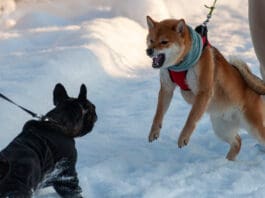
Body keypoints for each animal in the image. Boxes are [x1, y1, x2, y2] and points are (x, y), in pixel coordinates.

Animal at [146, 15, 265, 161]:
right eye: (151, 40)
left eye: (164, 42)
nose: (149, 51)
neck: (181, 64)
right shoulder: (167, 88)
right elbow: (158, 113)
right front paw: (154, 131)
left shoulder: (203, 91)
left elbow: (191, 118)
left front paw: (183, 136)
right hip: (221, 127)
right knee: (238, 142)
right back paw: (228, 161)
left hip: (253, 127)